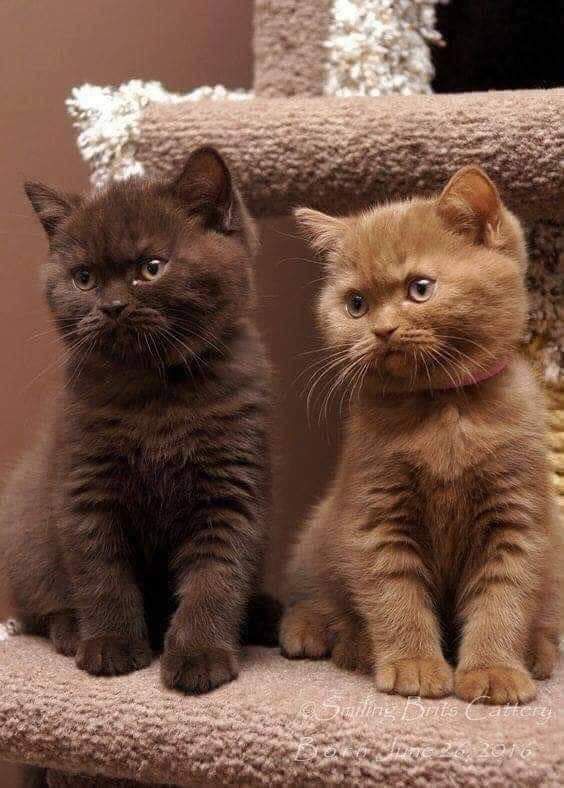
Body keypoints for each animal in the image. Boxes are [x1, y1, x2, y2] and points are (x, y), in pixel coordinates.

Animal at [0, 148, 274, 696]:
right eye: (83, 277)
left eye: (151, 267)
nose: (112, 306)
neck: (155, 398)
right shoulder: (85, 484)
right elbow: (99, 570)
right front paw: (110, 645)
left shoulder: (231, 489)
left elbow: (217, 574)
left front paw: (200, 655)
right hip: (24, 524)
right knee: (44, 604)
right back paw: (70, 630)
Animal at [280, 165, 560, 700]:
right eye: (356, 304)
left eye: (421, 288)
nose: (383, 330)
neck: (443, 410)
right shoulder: (376, 511)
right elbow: (395, 593)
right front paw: (413, 664)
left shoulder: (517, 517)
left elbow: (504, 598)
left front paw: (493, 671)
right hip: (320, 531)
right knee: (317, 591)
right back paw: (329, 636)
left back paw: (538, 652)